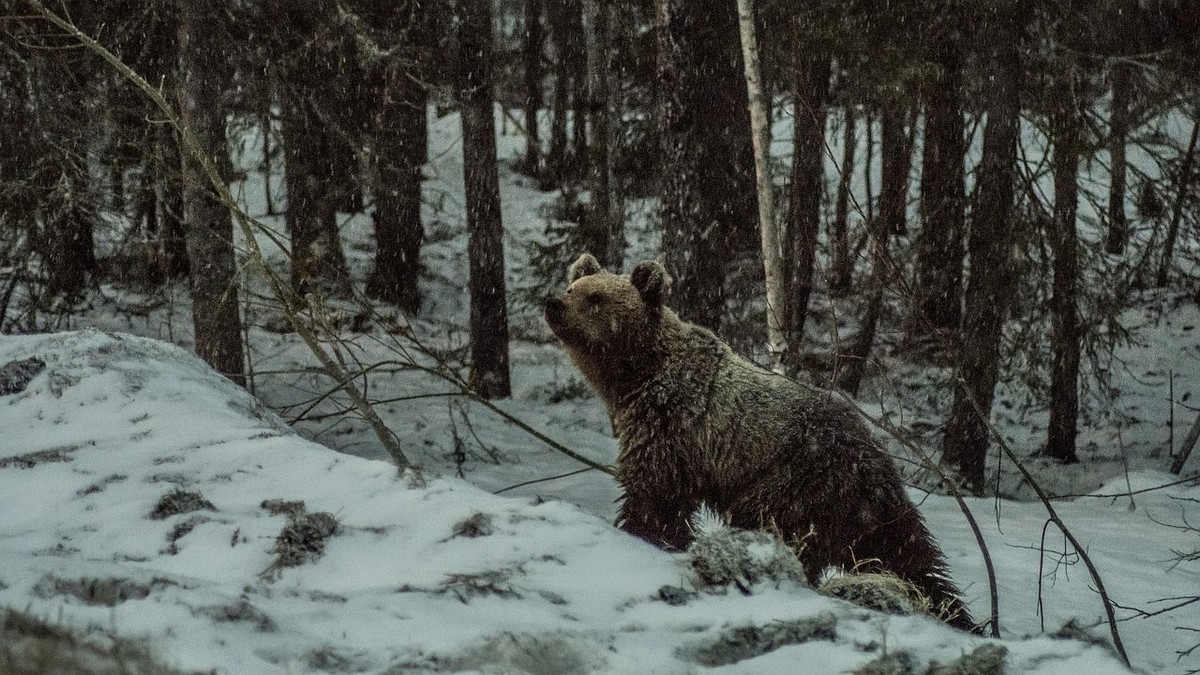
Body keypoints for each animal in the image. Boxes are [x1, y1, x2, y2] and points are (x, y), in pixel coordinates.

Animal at [547, 249, 974, 629]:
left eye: (596, 297)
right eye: (573, 286)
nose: (553, 303)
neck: (634, 376)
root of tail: (876, 464)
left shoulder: (672, 427)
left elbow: (655, 497)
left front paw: (643, 532)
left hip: (795, 484)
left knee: (781, 529)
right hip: (868, 512)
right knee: (914, 558)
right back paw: (957, 614)